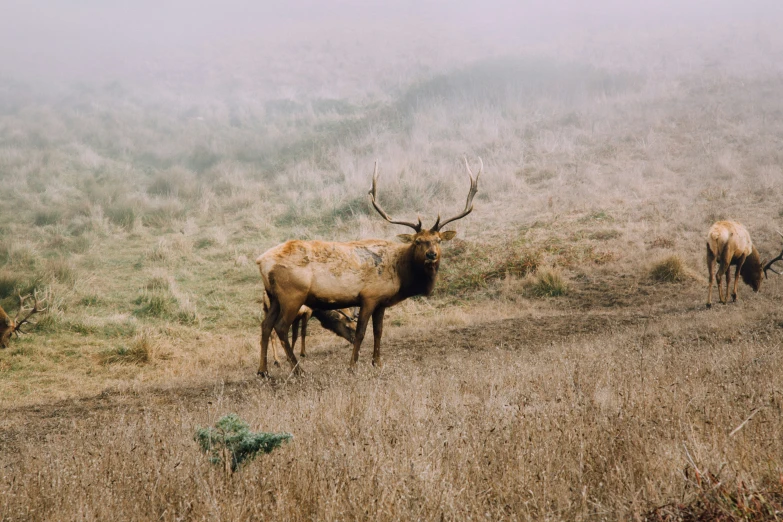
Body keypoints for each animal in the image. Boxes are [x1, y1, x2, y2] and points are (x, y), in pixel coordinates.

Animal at [256, 154, 484, 374]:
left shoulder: (381, 301)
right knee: (281, 327)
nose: (431, 254)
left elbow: (379, 332)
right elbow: (361, 333)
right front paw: (352, 366)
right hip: (293, 294)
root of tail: (261, 261)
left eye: (438, 240)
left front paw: (378, 363)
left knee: (265, 325)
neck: (400, 275)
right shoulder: (369, 296)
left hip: (274, 297)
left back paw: (264, 371)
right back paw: (297, 370)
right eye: (417, 241)